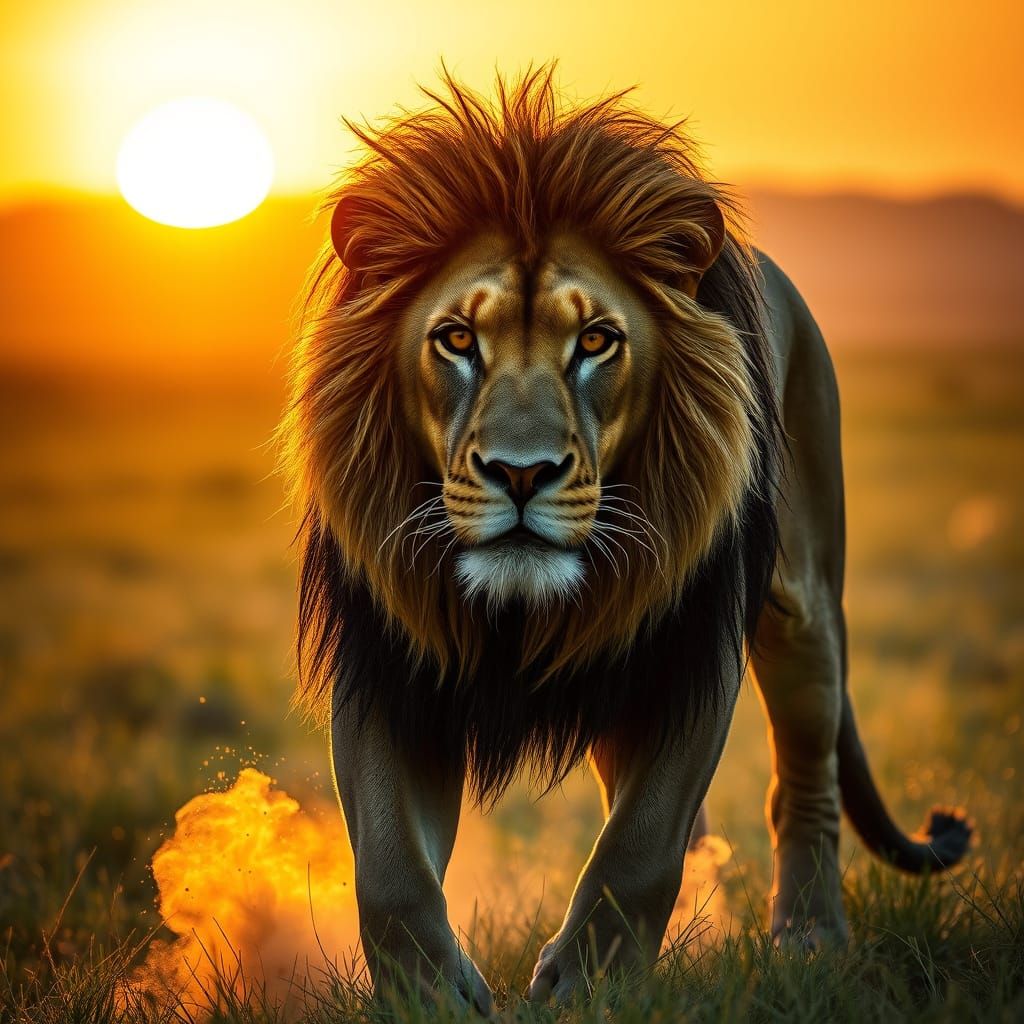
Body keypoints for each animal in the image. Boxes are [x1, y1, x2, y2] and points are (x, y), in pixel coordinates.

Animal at [279, 68, 972, 1009]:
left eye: (596, 341)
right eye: (456, 339)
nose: (522, 472)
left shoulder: (688, 652)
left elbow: (637, 849)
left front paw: (586, 987)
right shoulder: (389, 656)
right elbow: (390, 868)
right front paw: (431, 995)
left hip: (801, 598)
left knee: (806, 777)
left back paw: (809, 939)